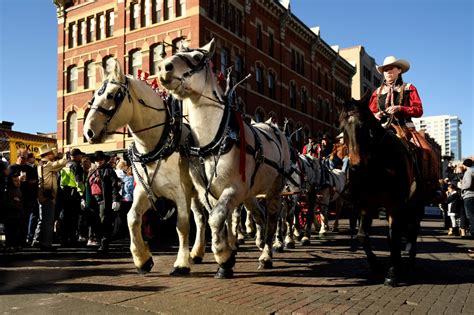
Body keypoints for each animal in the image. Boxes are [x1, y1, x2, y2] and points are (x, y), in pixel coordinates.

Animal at [84, 61, 206, 276]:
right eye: (94, 98)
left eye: (112, 95)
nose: (88, 132)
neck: (157, 145)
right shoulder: (144, 191)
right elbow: (132, 218)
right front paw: (143, 259)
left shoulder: (180, 192)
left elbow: (182, 225)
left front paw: (181, 263)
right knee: (200, 218)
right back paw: (198, 253)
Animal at [157, 39, 290, 278]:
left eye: (197, 58)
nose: (164, 67)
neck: (214, 140)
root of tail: (273, 128)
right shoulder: (207, 191)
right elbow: (214, 220)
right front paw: (226, 256)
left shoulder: (234, 188)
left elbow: (217, 218)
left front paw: (223, 258)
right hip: (250, 193)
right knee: (259, 215)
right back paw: (258, 242)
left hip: (275, 188)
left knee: (272, 219)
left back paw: (266, 255)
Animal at [338, 95, 436, 288]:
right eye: (342, 127)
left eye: (364, 126)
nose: (356, 166)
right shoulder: (366, 205)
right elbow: (362, 236)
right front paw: (376, 266)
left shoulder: (394, 205)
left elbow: (393, 237)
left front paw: (392, 273)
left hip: (417, 203)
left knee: (413, 230)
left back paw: (409, 262)